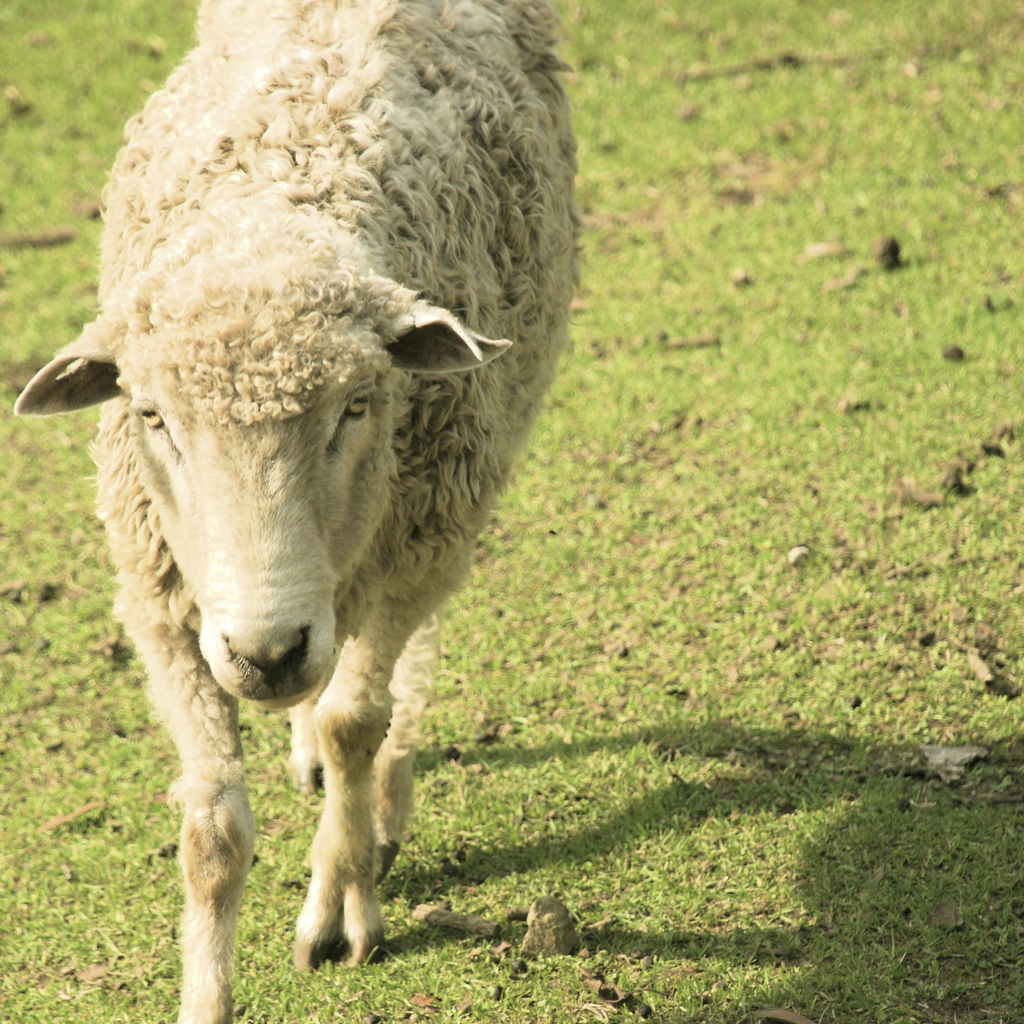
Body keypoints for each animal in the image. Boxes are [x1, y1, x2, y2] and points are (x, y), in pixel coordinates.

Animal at [13, 0, 578, 1020]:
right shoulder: (162, 599)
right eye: (151, 415)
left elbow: (357, 719)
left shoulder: (417, 537)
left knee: (392, 676)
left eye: (357, 404)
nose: (267, 652)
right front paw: (205, 996)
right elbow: (210, 832)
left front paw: (341, 905)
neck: (269, 208)